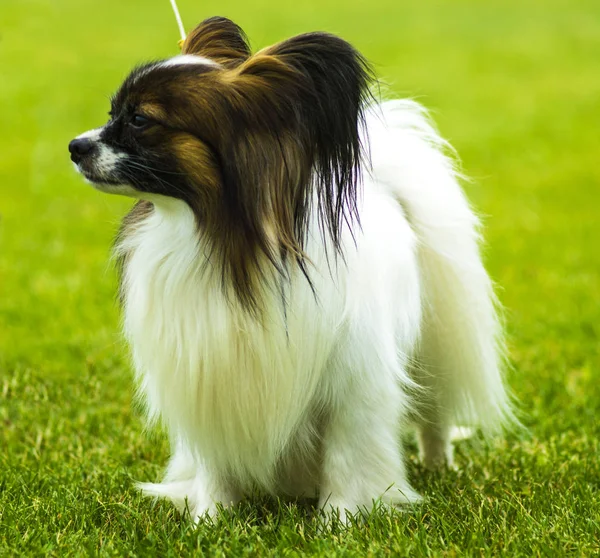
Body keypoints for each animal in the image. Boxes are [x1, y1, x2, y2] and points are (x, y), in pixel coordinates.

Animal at [69, 16, 510, 524]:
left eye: (140, 120)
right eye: (112, 113)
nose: (74, 146)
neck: (221, 243)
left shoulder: (351, 384)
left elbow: (345, 457)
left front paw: (339, 521)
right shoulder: (210, 377)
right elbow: (215, 462)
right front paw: (210, 519)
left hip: (434, 350)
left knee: (434, 417)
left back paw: (439, 465)